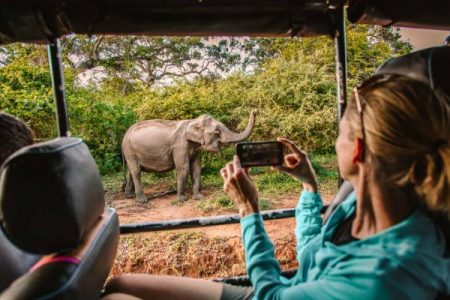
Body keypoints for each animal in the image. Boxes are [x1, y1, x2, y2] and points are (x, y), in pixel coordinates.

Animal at [122, 110, 256, 204]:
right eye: (217, 131)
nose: (255, 111)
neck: (192, 121)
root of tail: (125, 134)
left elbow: (196, 167)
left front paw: (199, 197)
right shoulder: (179, 145)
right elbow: (184, 168)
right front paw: (182, 200)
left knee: (131, 171)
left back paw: (129, 195)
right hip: (130, 150)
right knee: (136, 172)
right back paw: (142, 200)